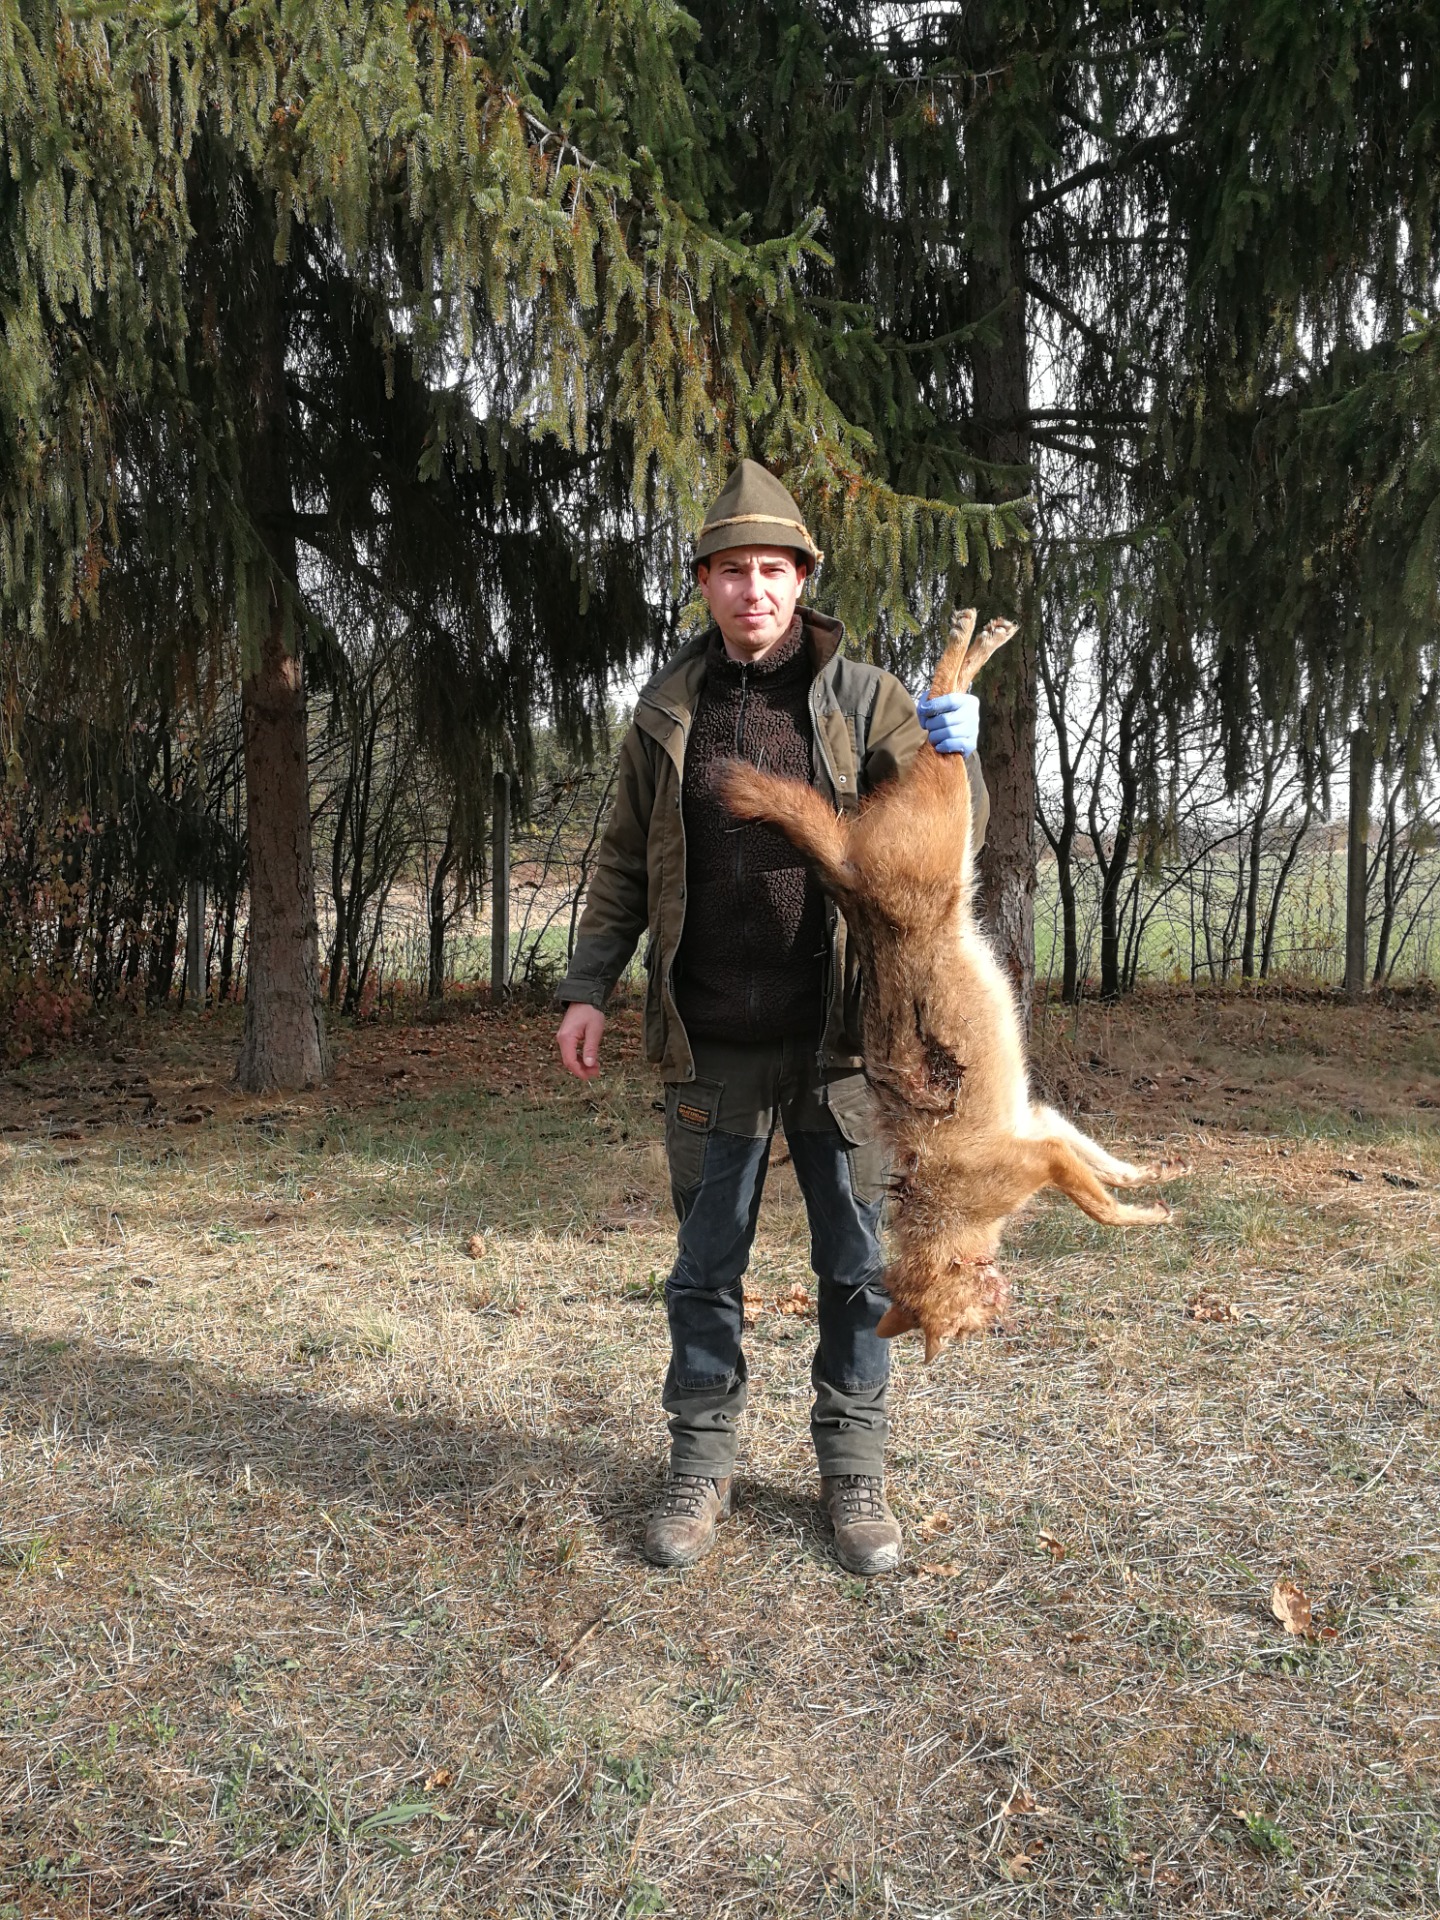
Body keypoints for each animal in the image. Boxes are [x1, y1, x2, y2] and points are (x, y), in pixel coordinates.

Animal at [719, 609, 1183, 1361]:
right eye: (968, 1325)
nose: (1000, 1316)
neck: (945, 1210)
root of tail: (847, 876)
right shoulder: (1045, 1131)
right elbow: (1106, 1180)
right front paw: (1151, 1190)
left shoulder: (1045, 1151)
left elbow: (1103, 1201)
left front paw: (1144, 1202)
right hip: (946, 819)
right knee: (948, 688)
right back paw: (981, 638)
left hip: (948, 808)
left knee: (940, 693)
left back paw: (969, 645)